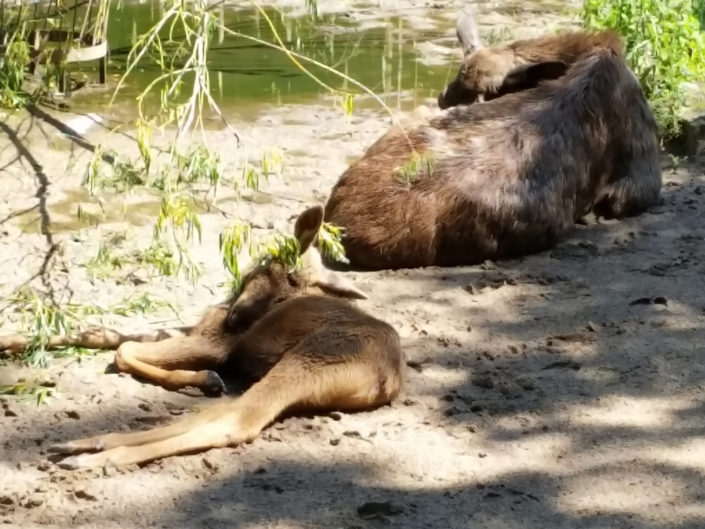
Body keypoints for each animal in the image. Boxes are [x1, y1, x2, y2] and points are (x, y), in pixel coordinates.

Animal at [0, 206, 404, 469]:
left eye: (265, 260)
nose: (237, 317)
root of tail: (385, 384)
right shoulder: (203, 329)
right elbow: (102, 334)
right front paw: (11, 342)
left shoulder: (213, 341)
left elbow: (122, 348)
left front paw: (194, 377)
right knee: (216, 413)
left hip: (307, 361)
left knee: (237, 420)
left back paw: (98, 454)